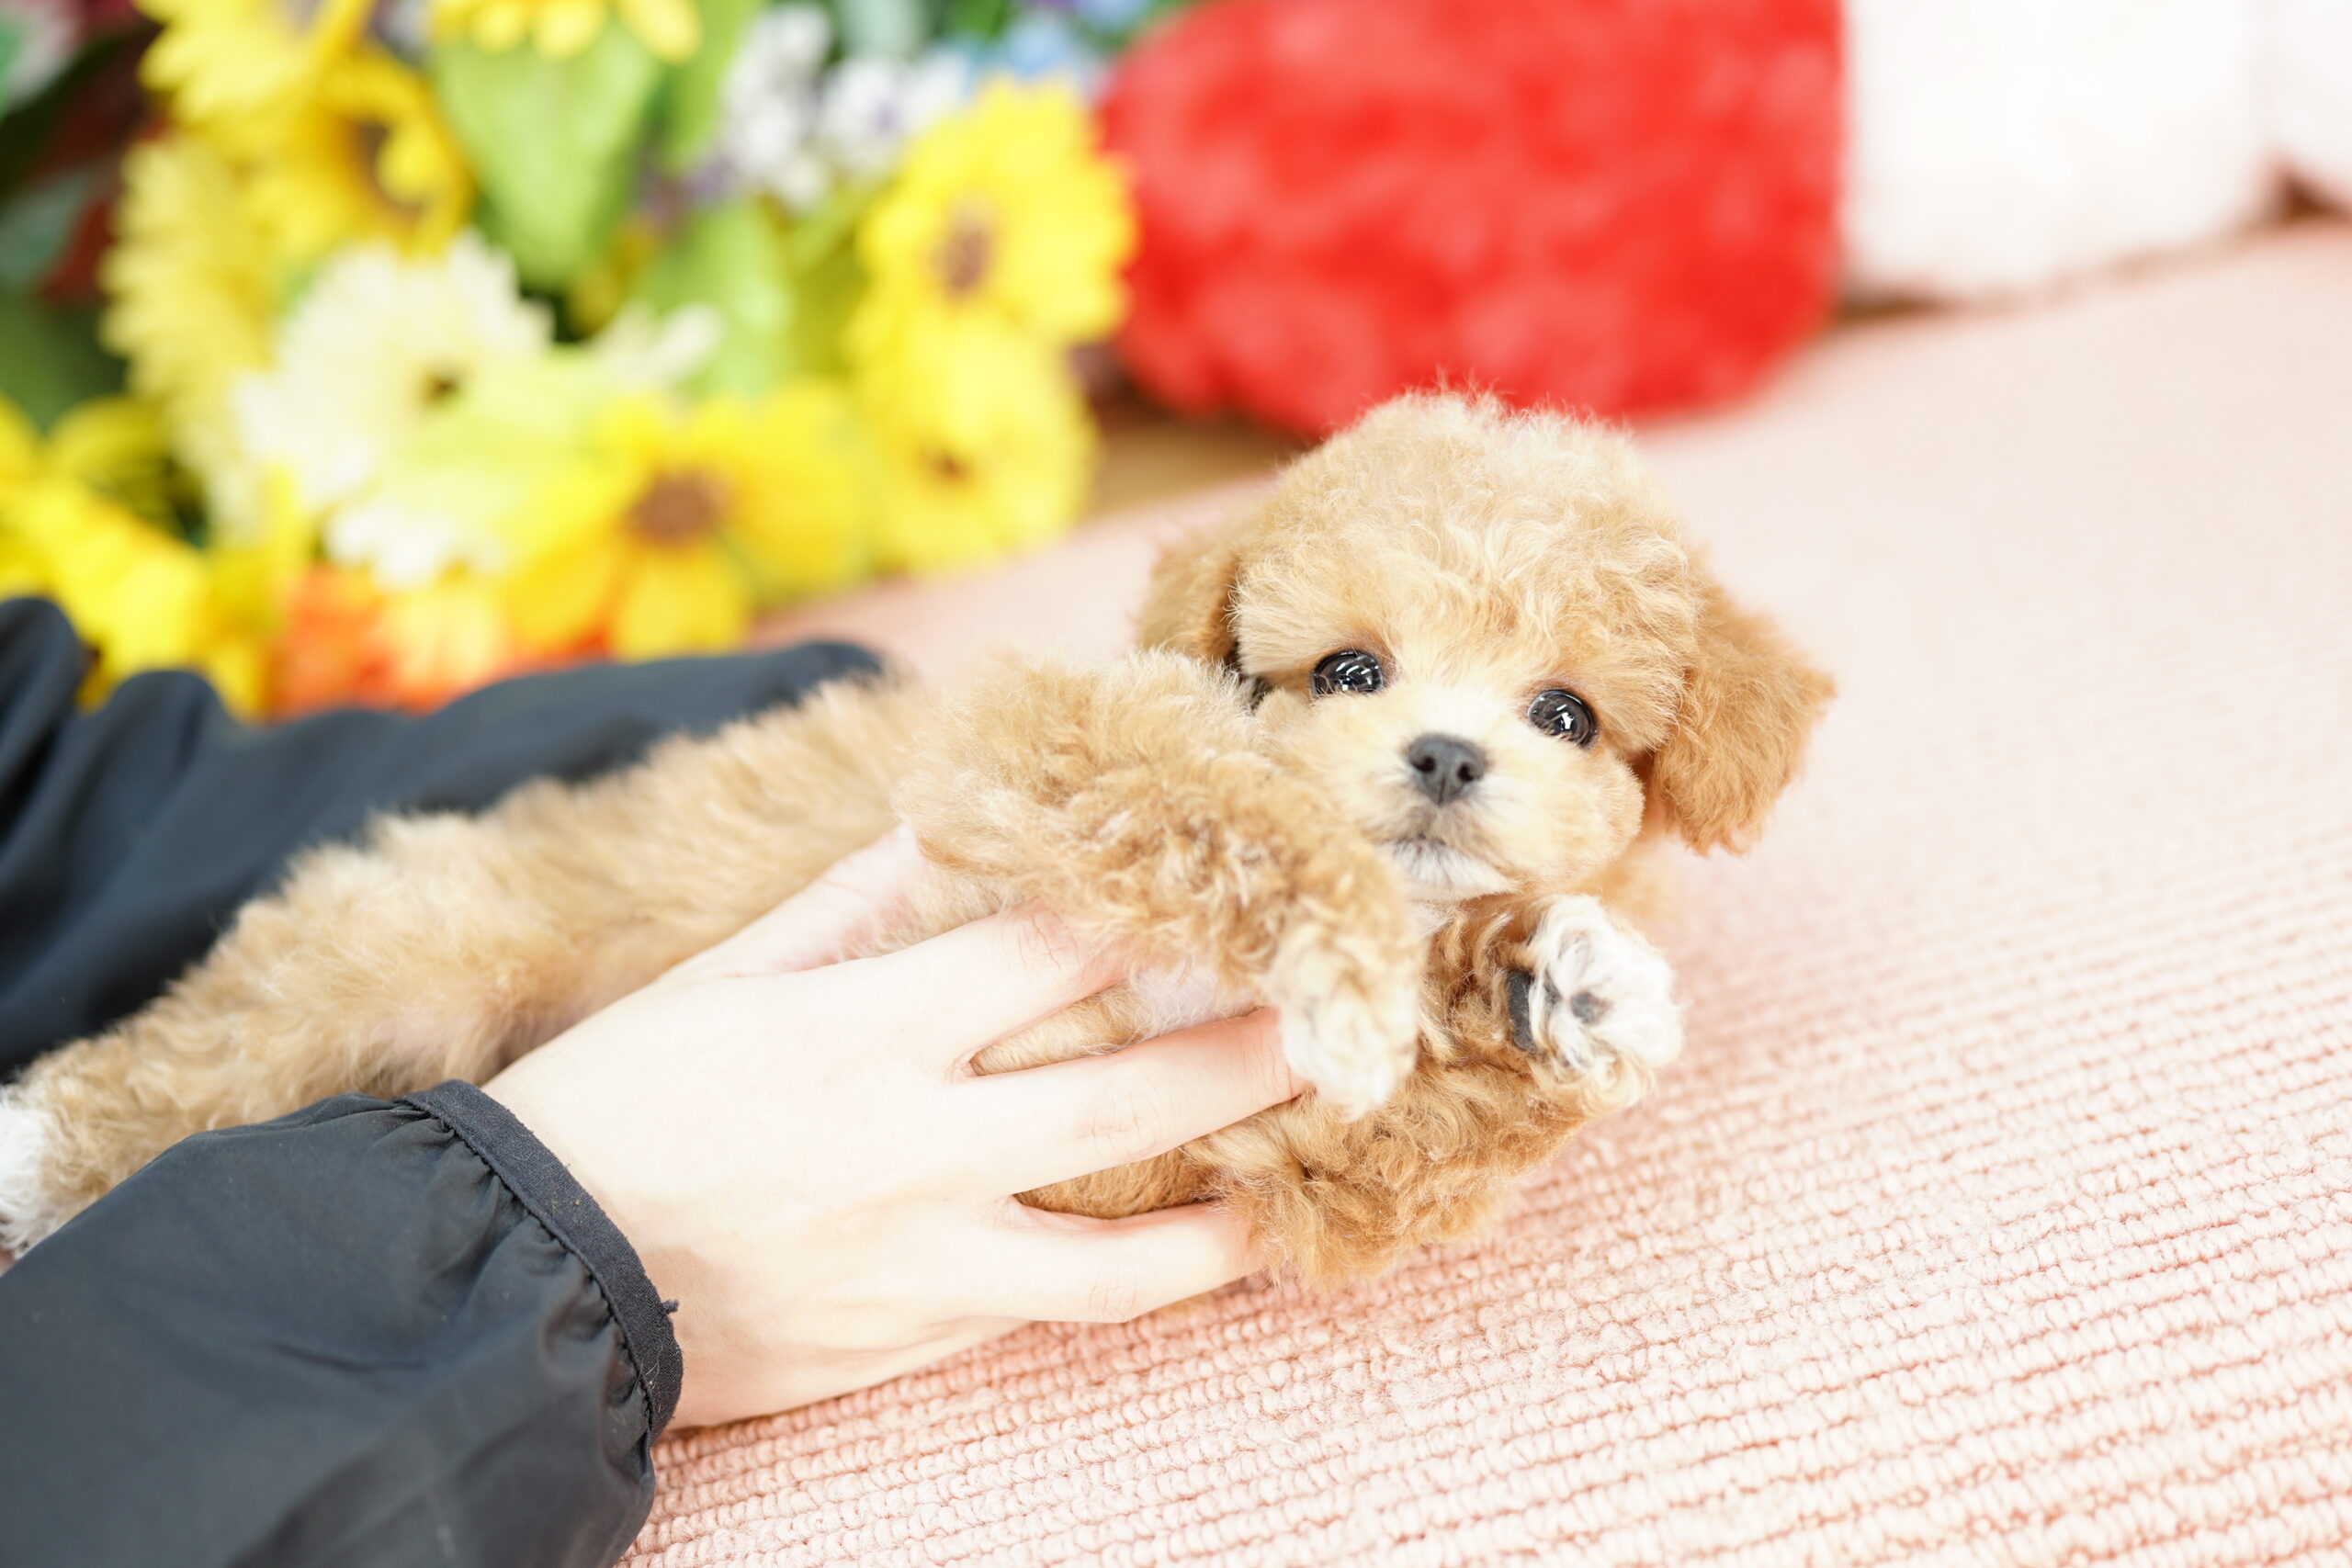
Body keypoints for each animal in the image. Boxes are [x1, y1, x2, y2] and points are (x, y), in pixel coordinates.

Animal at [0, 394, 1832, 1280]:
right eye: (1349, 671)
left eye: (1568, 716)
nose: (1447, 754)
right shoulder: (1036, 759)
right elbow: (1224, 810)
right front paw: (1361, 946)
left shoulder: (1319, 1168)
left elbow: (1439, 1096)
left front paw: (1558, 981)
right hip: (412, 961)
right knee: (181, 1060)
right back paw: (29, 1148)